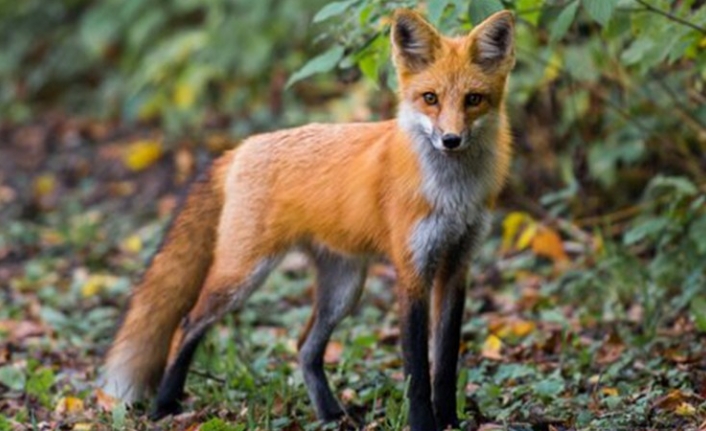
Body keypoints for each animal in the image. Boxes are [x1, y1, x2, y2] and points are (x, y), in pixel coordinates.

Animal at [100, 8, 512, 430]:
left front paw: (450, 421)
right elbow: (417, 369)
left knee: (303, 346)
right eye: (430, 99)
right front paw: (423, 423)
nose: (451, 140)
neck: (452, 194)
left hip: (343, 289)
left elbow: (444, 364)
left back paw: (330, 414)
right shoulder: (412, 271)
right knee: (188, 322)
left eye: (473, 100)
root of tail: (240, 148)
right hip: (242, 277)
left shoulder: (456, 266)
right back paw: (164, 404)